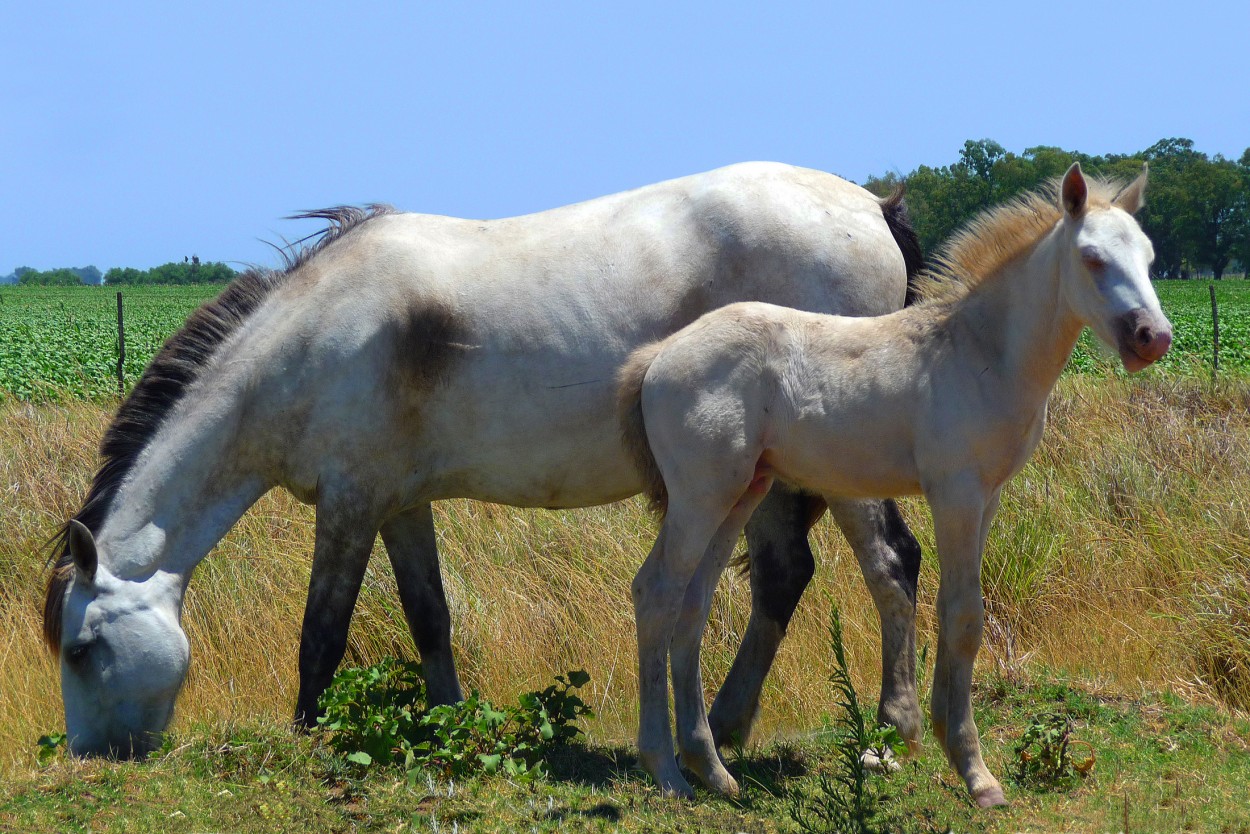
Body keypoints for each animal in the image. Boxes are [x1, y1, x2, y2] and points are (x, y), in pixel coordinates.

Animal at [41, 161, 930, 755]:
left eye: (80, 650)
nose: (91, 760)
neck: (307, 343)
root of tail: (871, 205)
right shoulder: (397, 503)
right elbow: (428, 616)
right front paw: (449, 721)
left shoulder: (349, 505)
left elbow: (321, 632)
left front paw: (304, 737)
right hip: (766, 473)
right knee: (784, 577)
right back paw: (727, 724)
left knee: (892, 563)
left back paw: (893, 730)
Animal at [622, 165, 1170, 810]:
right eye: (1092, 258)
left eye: (1150, 258)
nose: (1153, 337)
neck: (980, 352)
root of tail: (658, 355)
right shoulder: (955, 491)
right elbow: (965, 616)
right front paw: (976, 773)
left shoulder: (987, 497)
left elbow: (959, 614)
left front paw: (942, 743)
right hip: (700, 495)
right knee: (656, 593)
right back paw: (665, 768)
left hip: (740, 493)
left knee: (692, 603)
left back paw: (712, 769)